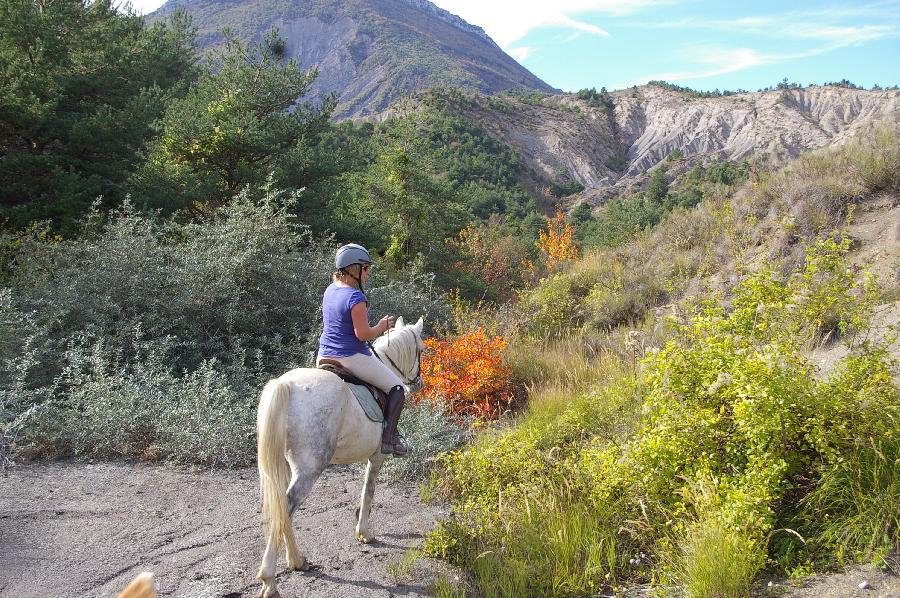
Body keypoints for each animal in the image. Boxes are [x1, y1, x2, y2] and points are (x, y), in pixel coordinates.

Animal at [253, 316, 422, 596]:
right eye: (422, 350)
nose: (418, 382)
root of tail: (286, 384)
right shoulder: (377, 456)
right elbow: (368, 491)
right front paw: (364, 533)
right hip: (309, 469)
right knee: (287, 505)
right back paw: (270, 580)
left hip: (286, 466)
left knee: (282, 508)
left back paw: (297, 561)